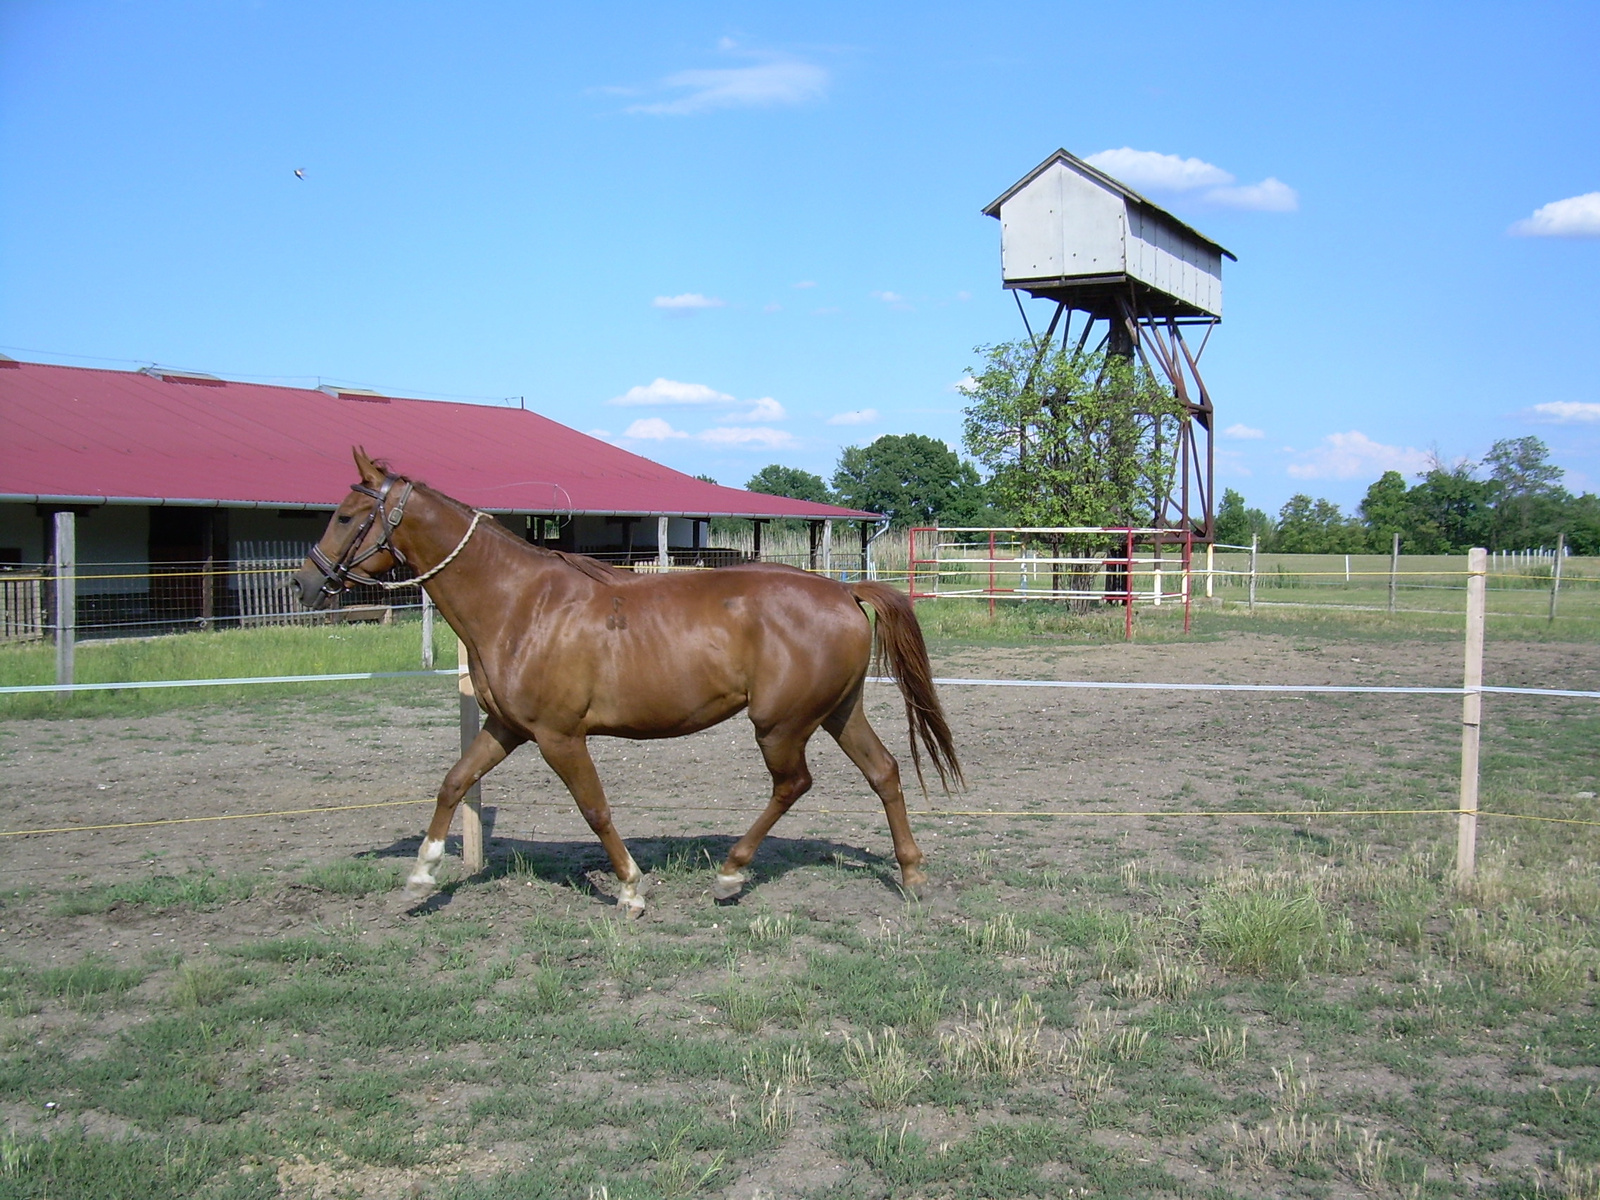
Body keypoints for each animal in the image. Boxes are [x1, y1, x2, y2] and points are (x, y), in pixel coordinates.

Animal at [292, 451, 953, 908]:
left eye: (346, 516)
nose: (304, 583)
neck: (519, 604)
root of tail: (844, 591)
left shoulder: (559, 736)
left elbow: (595, 808)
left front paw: (632, 888)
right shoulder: (506, 727)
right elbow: (453, 783)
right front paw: (420, 873)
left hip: (780, 724)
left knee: (794, 785)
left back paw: (730, 872)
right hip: (838, 712)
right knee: (884, 772)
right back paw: (913, 873)